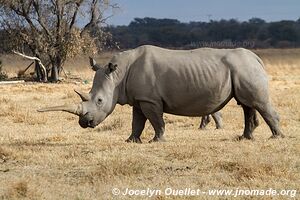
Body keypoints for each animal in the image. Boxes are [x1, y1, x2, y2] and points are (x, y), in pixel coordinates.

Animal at [39, 45, 284, 142]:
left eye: (99, 101)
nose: (85, 123)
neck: (118, 74)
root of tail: (257, 58)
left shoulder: (150, 100)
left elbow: (156, 120)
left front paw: (157, 141)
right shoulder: (139, 99)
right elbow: (137, 121)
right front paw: (131, 141)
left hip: (245, 68)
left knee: (257, 103)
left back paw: (276, 138)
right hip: (241, 69)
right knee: (247, 104)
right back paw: (245, 138)